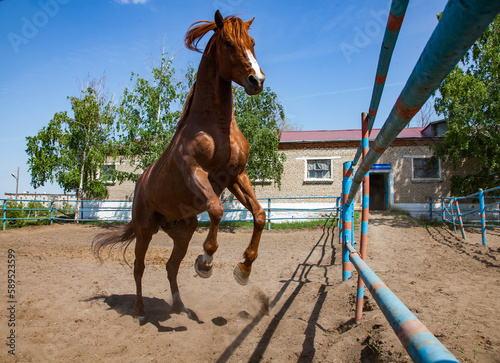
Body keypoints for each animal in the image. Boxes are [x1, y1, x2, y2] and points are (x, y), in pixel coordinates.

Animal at [92, 9, 268, 320]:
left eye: (252, 42)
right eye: (228, 44)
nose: (256, 80)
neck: (216, 127)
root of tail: (141, 183)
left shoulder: (236, 176)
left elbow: (259, 215)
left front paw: (244, 269)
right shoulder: (194, 173)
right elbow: (217, 210)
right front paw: (205, 263)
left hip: (182, 232)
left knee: (170, 266)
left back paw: (180, 307)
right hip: (144, 229)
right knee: (139, 267)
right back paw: (140, 311)